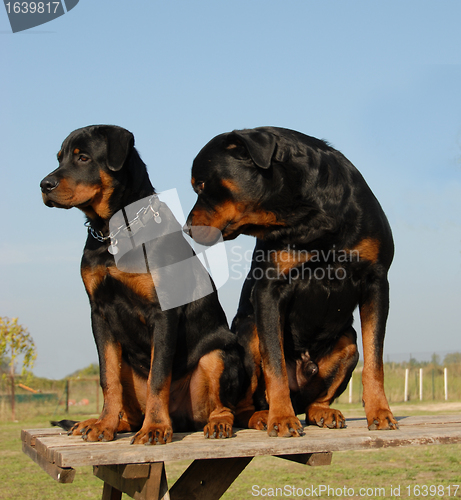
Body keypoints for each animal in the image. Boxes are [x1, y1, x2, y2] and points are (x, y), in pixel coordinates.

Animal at [41, 126, 243, 446]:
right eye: (59, 158)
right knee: (129, 409)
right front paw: (104, 425)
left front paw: (156, 428)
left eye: (83, 157)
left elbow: (157, 376)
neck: (112, 232)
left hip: (220, 354)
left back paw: (217, 423)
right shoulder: (99, 313)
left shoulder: (162, 311)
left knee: (222, 404)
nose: (44, 185)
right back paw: (97, 422)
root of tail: (182, 418)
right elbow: (107, 378)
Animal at [185, 126, 398, 438]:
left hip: (347, 343)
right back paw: (260, 416)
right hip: (249, 332)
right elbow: (275, 366)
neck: (308, 214)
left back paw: (324, 412)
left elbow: (375, 359)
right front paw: (282, 418)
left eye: (201, 184)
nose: (186, 228)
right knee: (244, 403)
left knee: (314, 401)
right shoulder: (269, 289)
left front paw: (380, 412)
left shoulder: (376, 281)